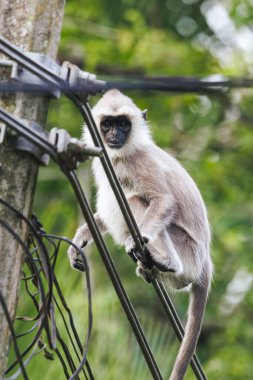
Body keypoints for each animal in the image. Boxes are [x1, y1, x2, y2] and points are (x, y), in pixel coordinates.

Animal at [66, 90, 211, 380]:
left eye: (124, 124)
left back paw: (165, 260)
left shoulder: (137, 162)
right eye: (107, 124)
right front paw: (79, 240)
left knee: (136, 201)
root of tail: (205, 264)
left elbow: (164, 200)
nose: (115, 135)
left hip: (186, 250)